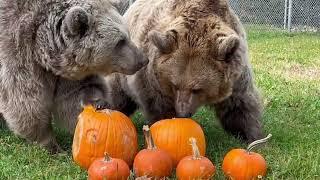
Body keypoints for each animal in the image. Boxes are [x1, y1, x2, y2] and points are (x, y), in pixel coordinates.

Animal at [0, 0, 149, 153]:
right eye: (120, 41)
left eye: (127, 34)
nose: (143, 60)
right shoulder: (19, 53)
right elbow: (27, 102)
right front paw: (51, 145)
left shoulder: (65, 72)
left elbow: (78, 91)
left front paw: (98, 102)